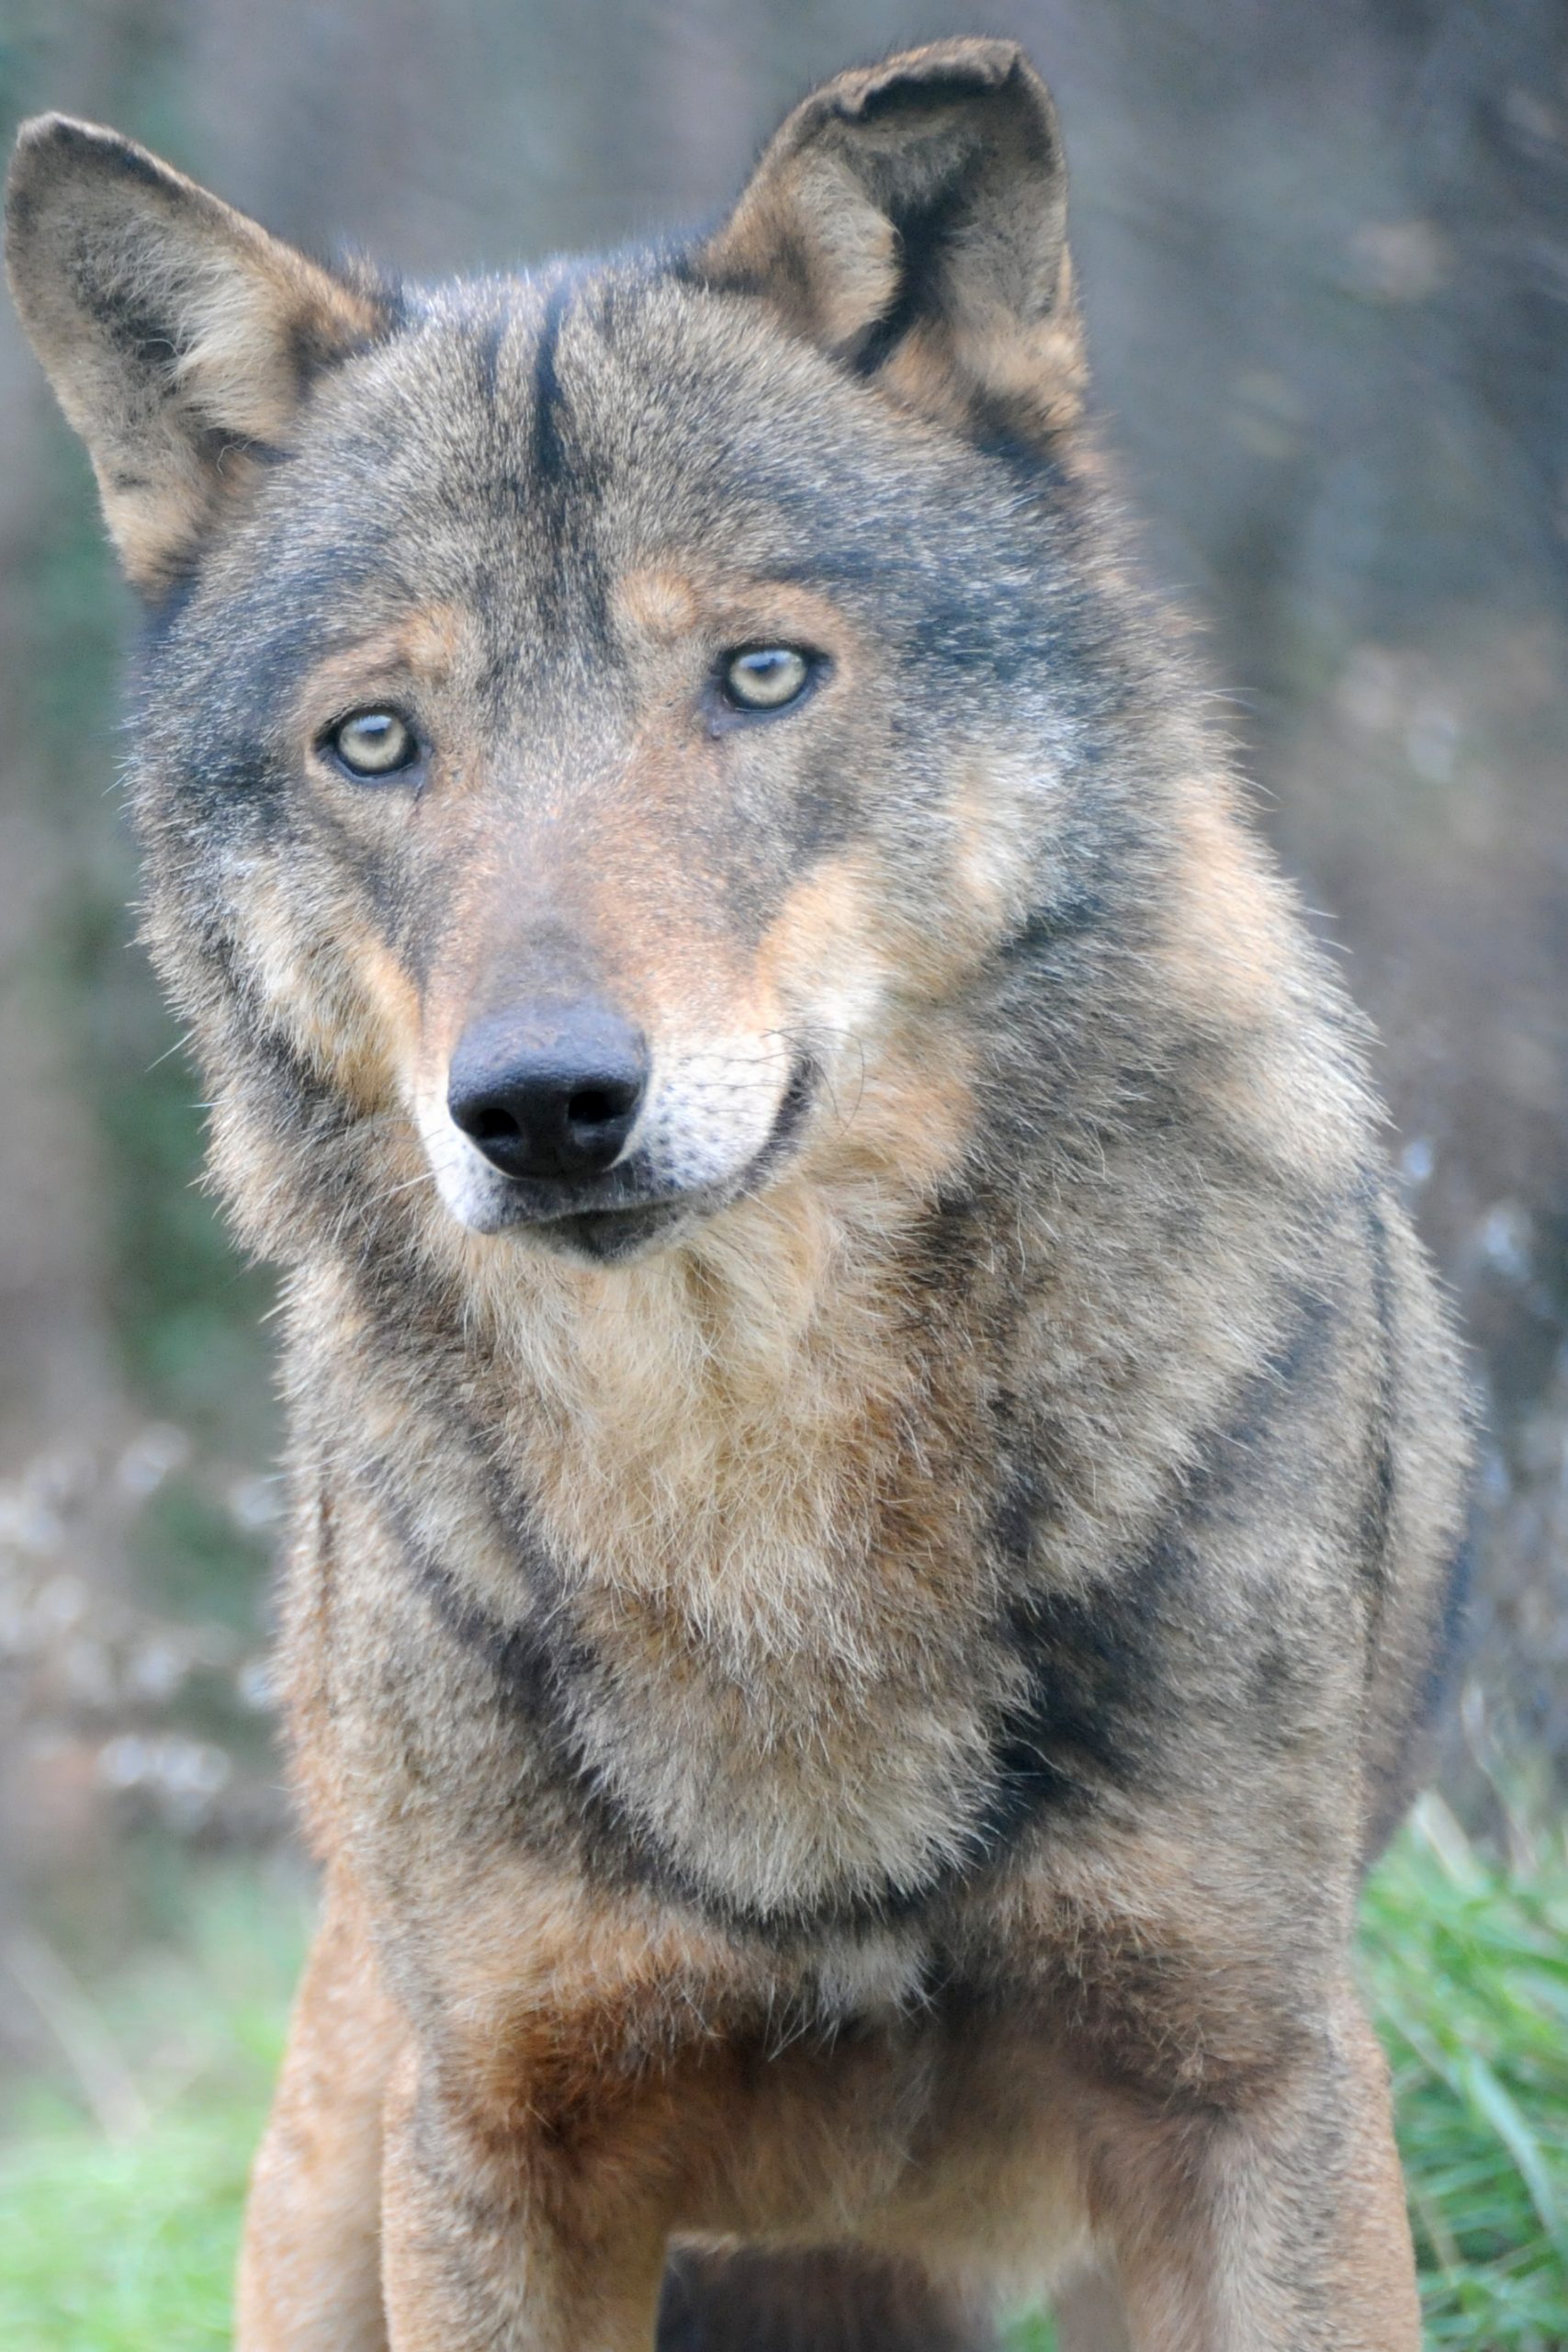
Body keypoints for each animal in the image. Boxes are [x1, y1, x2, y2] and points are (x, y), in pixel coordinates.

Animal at [6, 41, 1476, 2352]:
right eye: (374, 739)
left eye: (760, 676)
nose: (541, 1104)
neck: (753, 1496)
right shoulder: (504, 2143)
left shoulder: (1250, 2084)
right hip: (345, 2159)